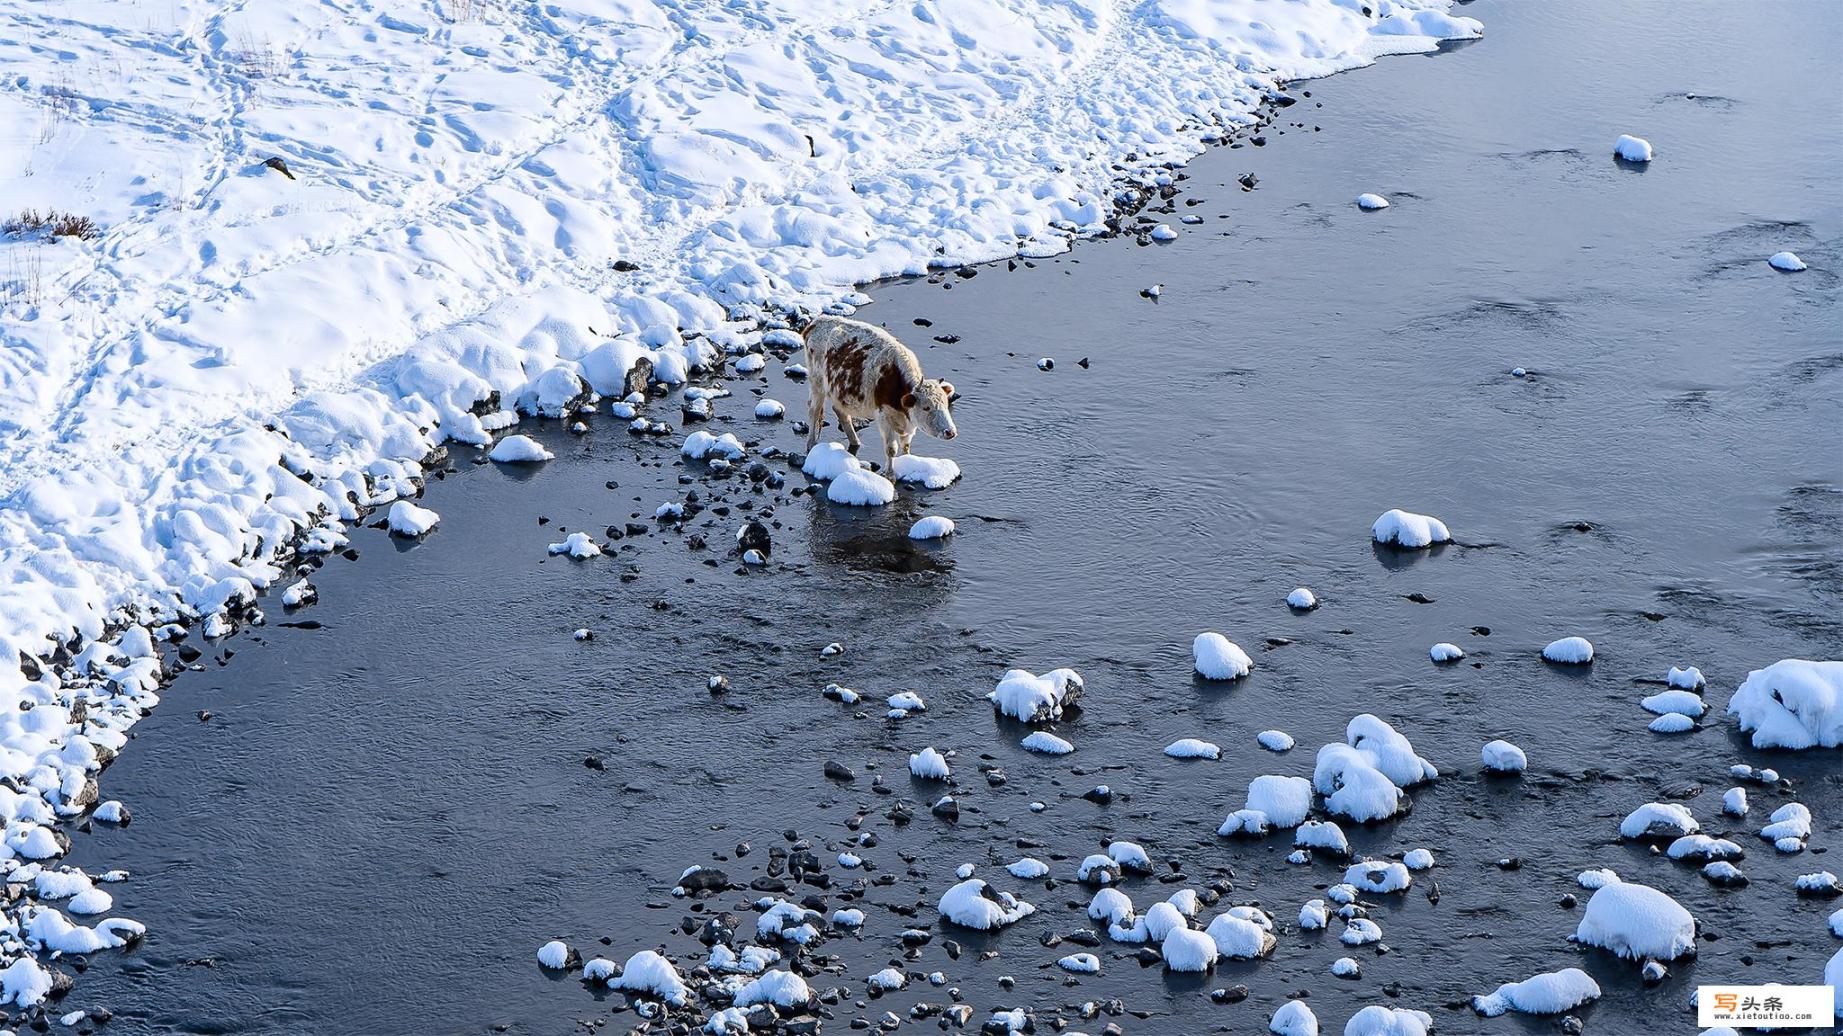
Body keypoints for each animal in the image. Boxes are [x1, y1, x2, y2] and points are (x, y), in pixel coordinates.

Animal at [799, 315, 958, 468]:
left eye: (945, 404)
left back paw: (856, 442)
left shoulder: (908, 422)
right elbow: (891, 449)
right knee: (814, 411)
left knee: (841, 412)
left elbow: (905, 445)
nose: (950, 432)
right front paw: (890, 473)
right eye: (926, 408)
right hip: (817, 383)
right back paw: (811, 444)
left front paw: (907, 461)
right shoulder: (884, 417)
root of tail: (816, 322)